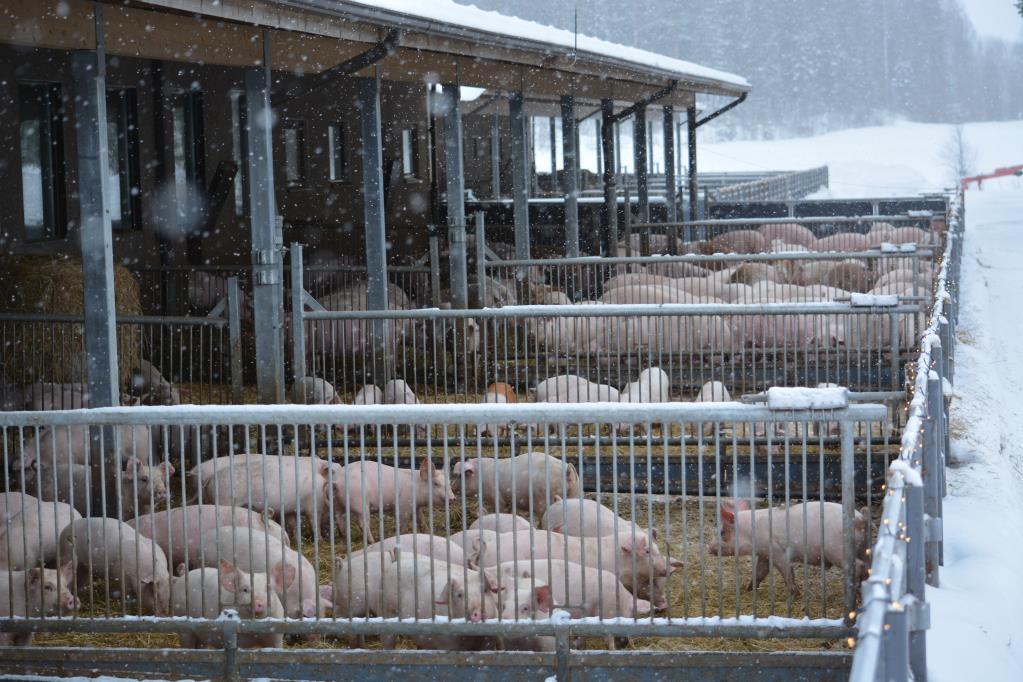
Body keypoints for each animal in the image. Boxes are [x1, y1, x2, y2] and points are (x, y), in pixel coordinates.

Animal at [450, 453, 581, 517]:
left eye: (460, 475)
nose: (451, 487)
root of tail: (567, 472)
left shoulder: (495, 495)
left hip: (543, 499)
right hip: (574, 493)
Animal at [707, 498, 875, 593]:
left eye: (722, 532)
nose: (708, 547)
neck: (750, 530)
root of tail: (861, 519)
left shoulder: (777, 551)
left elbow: (787, 572)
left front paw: (795, 593)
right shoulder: (764, 554)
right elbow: (760, 572)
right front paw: (748, 588)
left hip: (837, 551)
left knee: (859, 566)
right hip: (863, 547)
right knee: (867, 566)